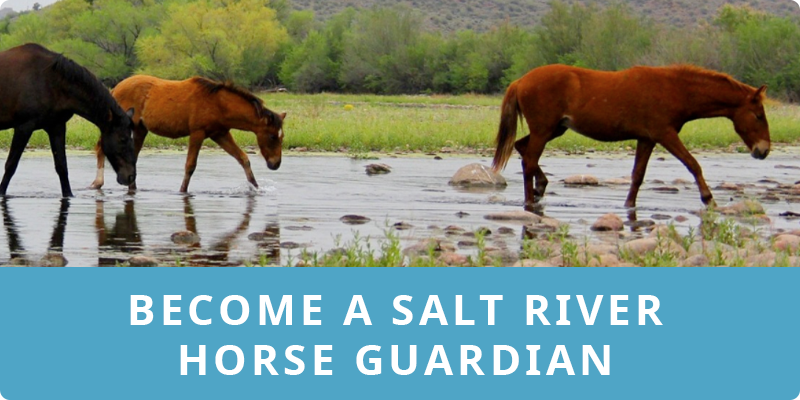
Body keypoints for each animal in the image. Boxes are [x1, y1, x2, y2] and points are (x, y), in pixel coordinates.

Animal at [0, 43, 137, 197]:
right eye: (123, 138)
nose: (131, 176)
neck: (50, 83)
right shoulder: (24, 126)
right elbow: (11, 165)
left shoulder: (56, 126)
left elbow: (62, 167)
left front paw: (69, 194)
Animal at [89, 75, 286, 192]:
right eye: (272, 136)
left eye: (281, 137)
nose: (276, 164)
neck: (218, 104)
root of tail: (115, 89)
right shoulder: (198, 133)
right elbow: (190, 165)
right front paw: (182, 191)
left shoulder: (220, 134)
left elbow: (243, 158)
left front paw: (256, 187)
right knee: (100, 147)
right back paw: (97, 183)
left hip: (140, 129)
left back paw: (132, 187)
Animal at [492, 64, 771, 209]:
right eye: (758, 115)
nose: (764, 150)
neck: (674, 88)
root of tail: (520, 81)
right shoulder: (665, 134)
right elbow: (693, 164)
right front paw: (708, 198)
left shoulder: (647, 138)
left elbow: (638, 175)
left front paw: (629, 205)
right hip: (544, 130)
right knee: (529, 160)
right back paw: (530, 199)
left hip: (554, 129)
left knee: (522, 149)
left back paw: (540, 187)